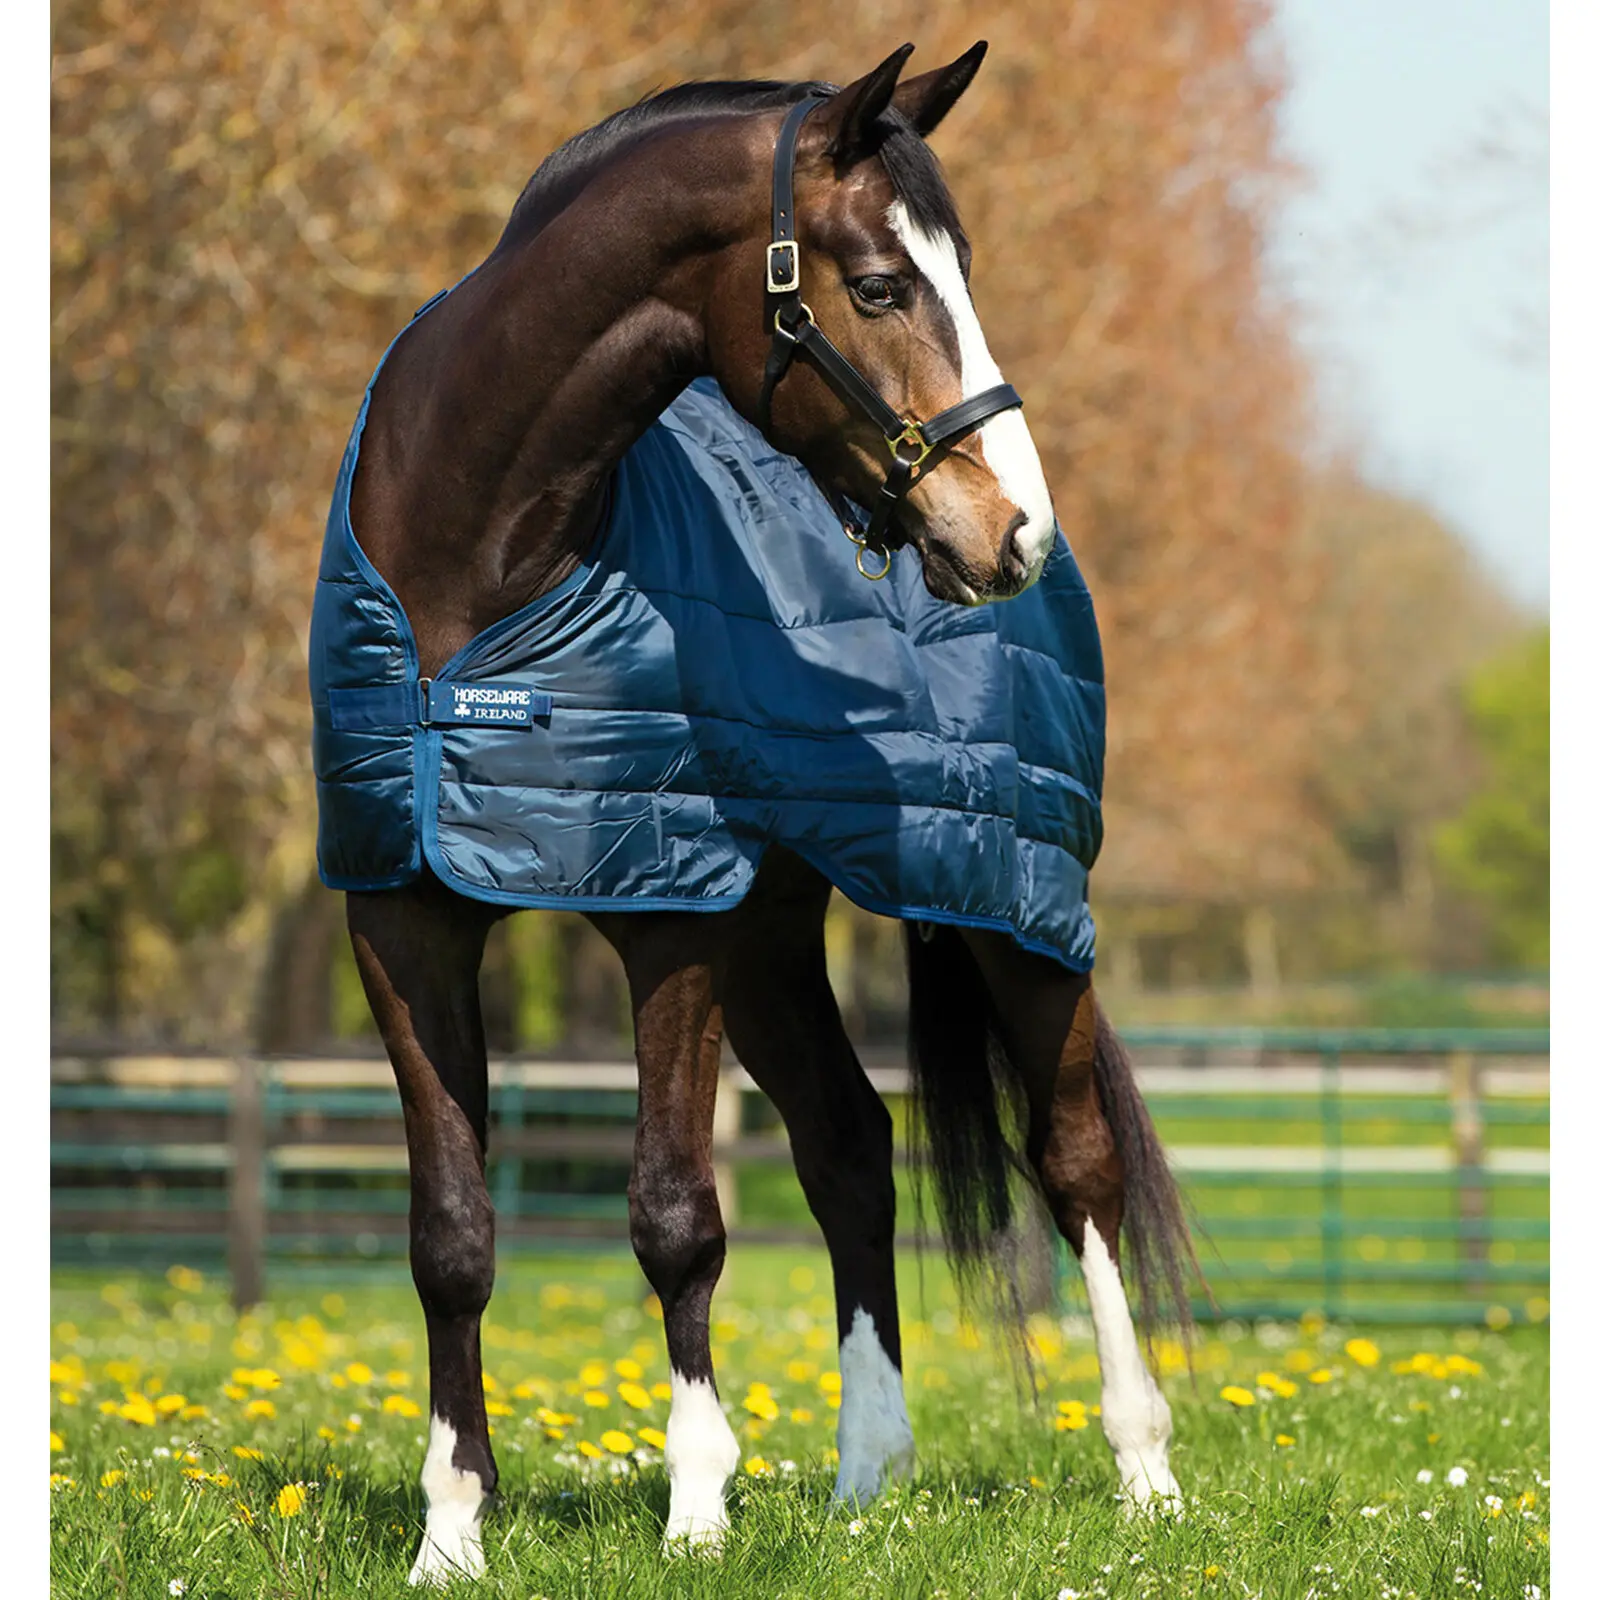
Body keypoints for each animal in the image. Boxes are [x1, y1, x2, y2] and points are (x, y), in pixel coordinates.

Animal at [321, 43, 1196, 1583]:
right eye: (882, 284)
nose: (1012, 531)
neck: (475, 571)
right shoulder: (405, 914)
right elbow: (451, 1233)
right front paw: (452, 1532)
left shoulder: (667, 914)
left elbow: (676, 1214)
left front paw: (696, 1513)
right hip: (778, 940)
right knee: (850, 1150)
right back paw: (866, 1478)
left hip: (1012, 901)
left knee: (1076, 1161)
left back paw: (1142, 1471)